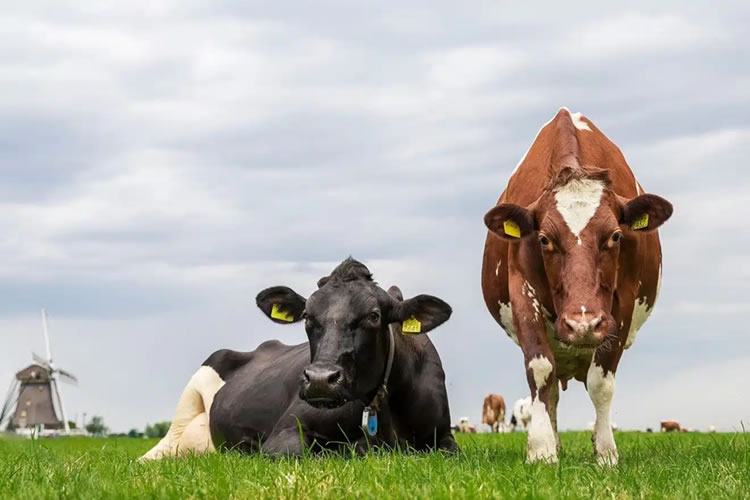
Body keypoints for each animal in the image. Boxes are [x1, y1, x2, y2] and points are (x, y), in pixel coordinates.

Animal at [478, 108, 680, 464]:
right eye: (544, 239)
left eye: (615, 236)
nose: (581, 324)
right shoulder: (521, 290)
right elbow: (540, 370)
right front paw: (542, 449)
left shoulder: (621, 305)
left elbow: (601, 382)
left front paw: (605, 453)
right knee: (551, 391)